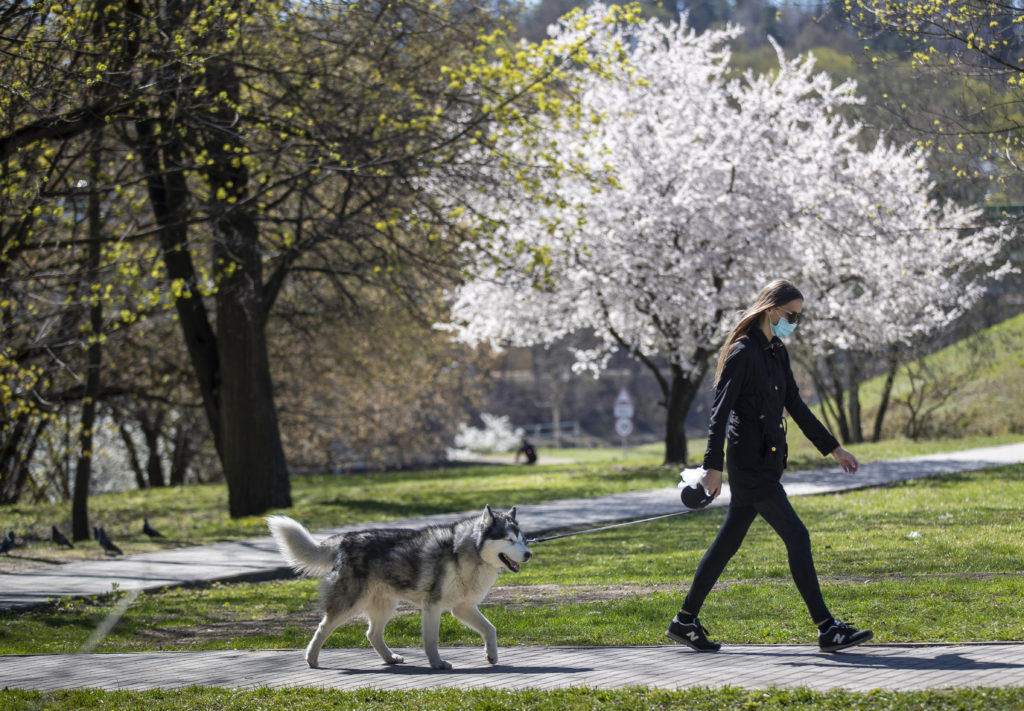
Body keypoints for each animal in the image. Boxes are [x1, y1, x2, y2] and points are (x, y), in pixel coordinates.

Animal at [266, 504, 528, 672]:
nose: (528, 554)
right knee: (323, 627)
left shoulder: (462, 608)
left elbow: (490, 629)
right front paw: (437, 664)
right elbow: (431, 640)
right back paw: (311, 659)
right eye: (509, 540)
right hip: (349, 604)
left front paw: (492, 655)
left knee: (372, 634)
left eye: (523, 539)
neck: (466, 552)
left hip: (384, 605)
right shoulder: (433, 607)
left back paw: (389, 658)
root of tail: (344, 539)